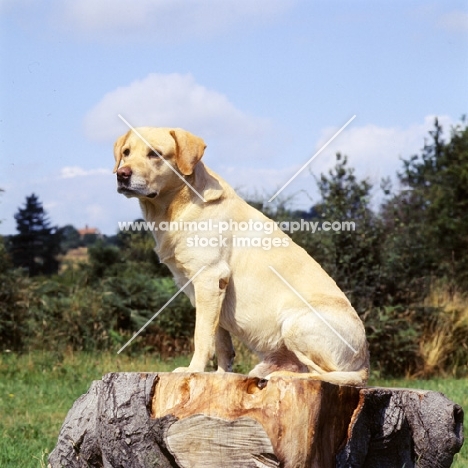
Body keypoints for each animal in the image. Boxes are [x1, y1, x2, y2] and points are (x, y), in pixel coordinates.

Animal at [112, 127, 370, 384]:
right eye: (126, 153)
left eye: (154, 154)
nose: (122, 175)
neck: (175, 207)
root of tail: (365, 363)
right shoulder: (207, 290)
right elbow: (221, 342)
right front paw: (221, 375)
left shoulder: (209, 279)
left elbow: (201, 336)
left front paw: (193, 369)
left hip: (296, 321)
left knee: (323, 374)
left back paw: (282, 375)